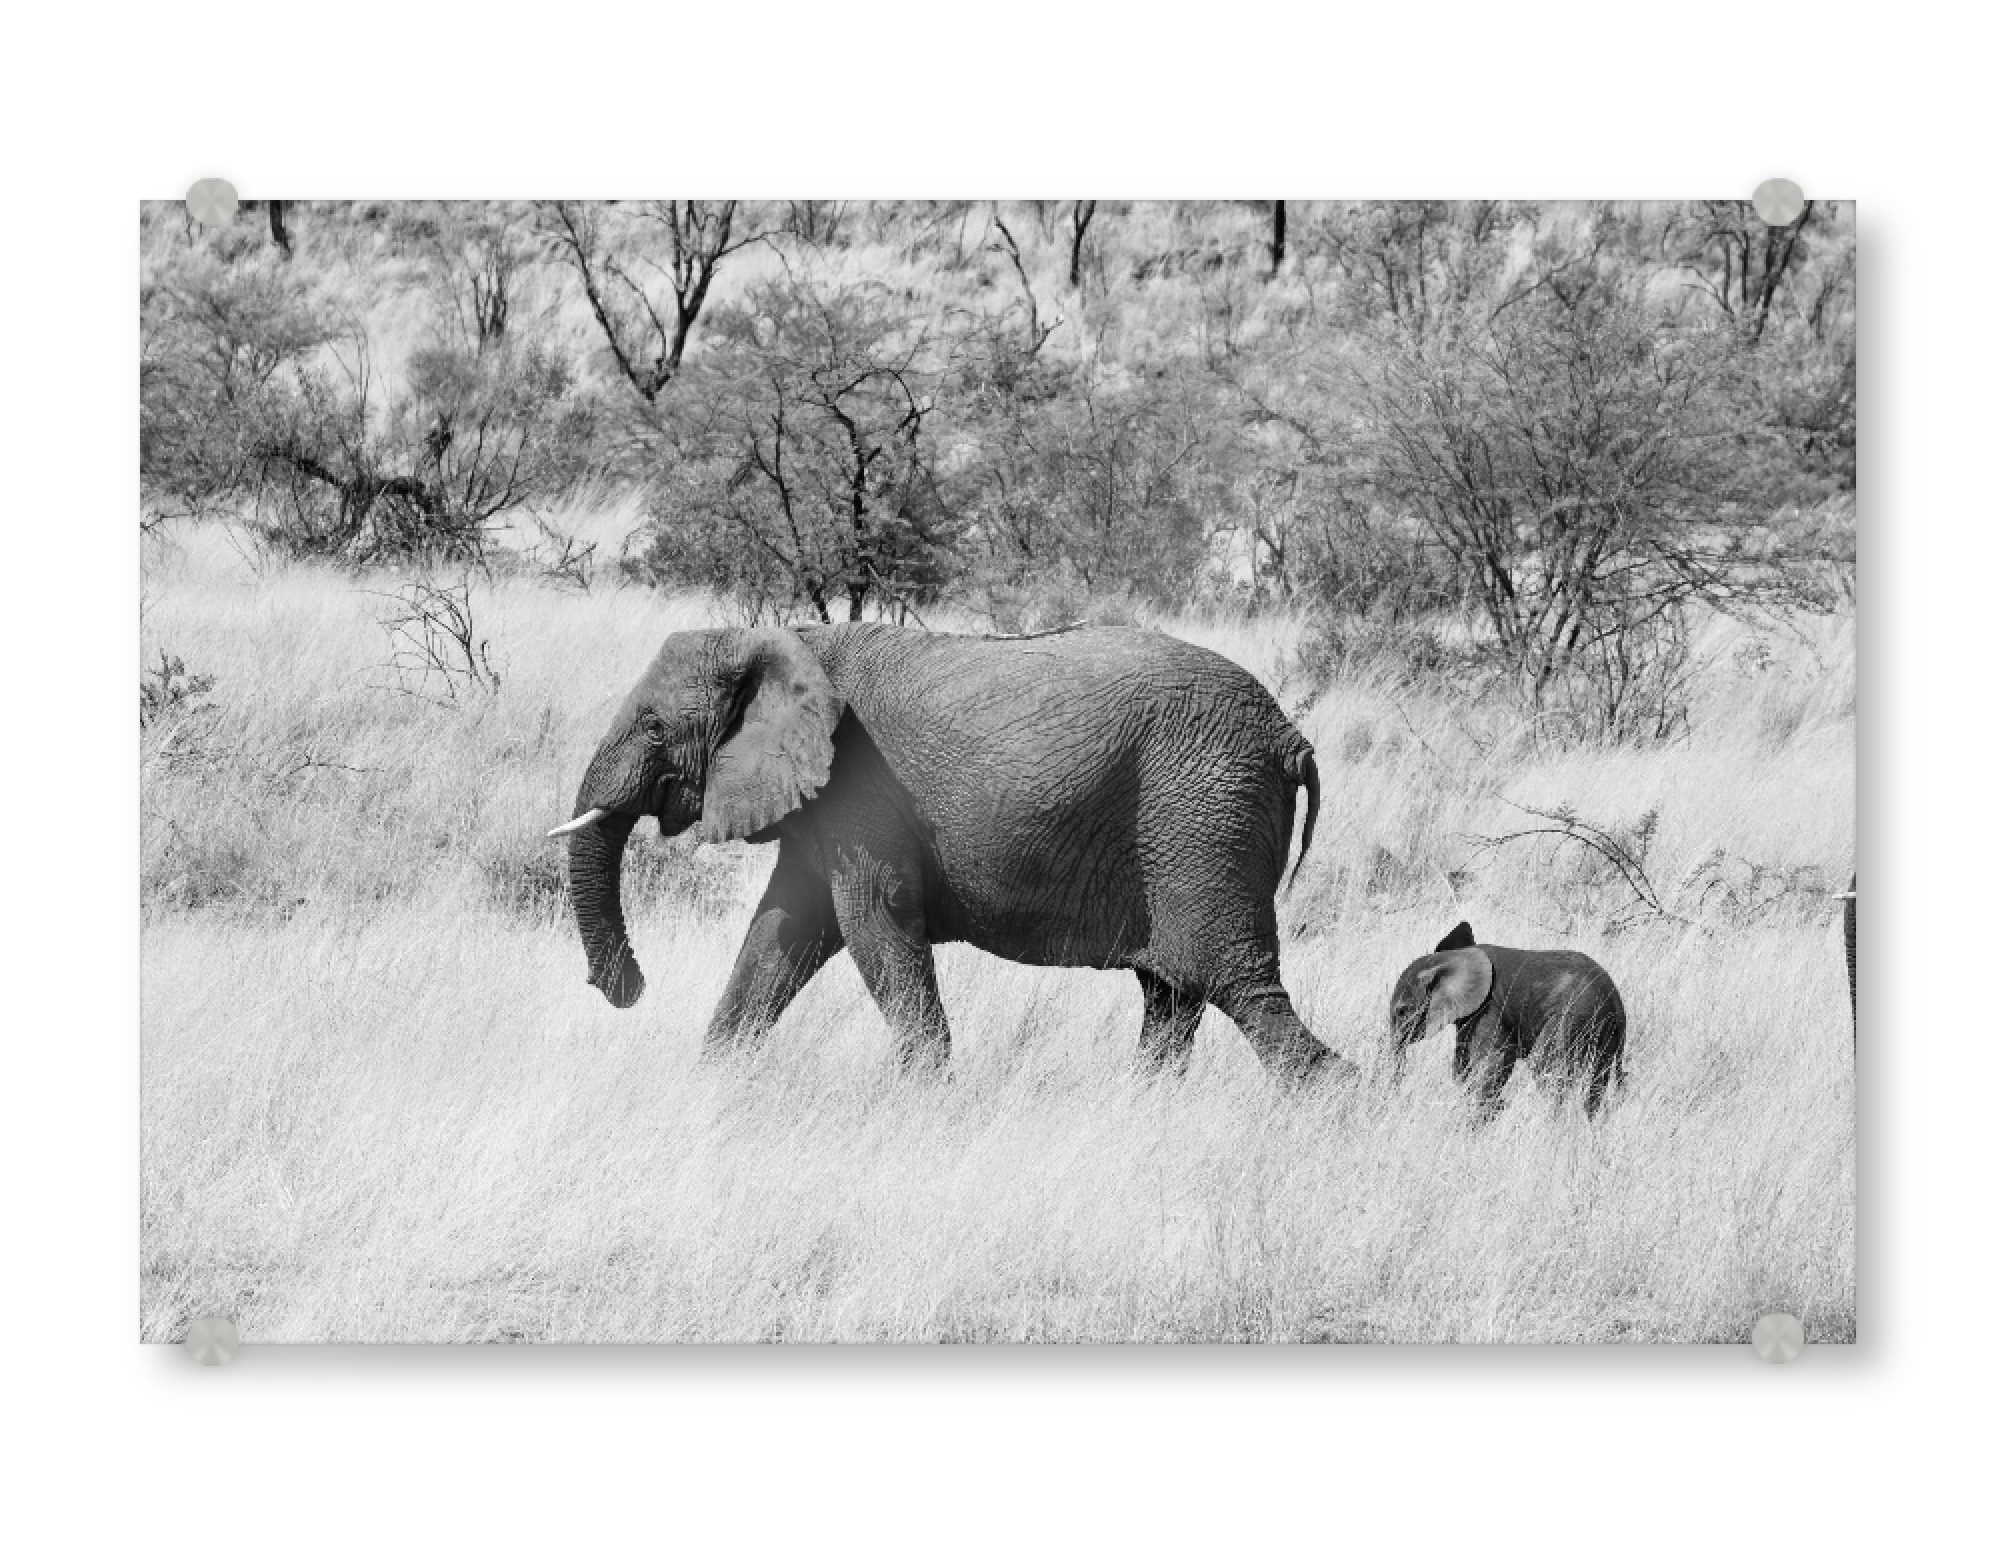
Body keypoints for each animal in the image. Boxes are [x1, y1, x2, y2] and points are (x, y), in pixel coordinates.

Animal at [550, 623, 1353, 1084]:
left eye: (653, 726)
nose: (627, 988)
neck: (781, 637)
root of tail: (1289, 736)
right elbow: (782, 930)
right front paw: (713, 1084)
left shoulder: (861, 789)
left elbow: (873, 922)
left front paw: (927, 1101)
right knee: (1172, 999)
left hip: (1207, 822)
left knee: (1241, 991)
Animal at [1387, 922, 1626, 1116]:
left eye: (1402, 1011)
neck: (1451, 958)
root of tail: (1615, 997)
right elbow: (1462, 1065)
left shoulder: (1490, 1007)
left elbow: (1493, 1059)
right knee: (1598, 1079)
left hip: (1573, 1015)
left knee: (1545, 1066)